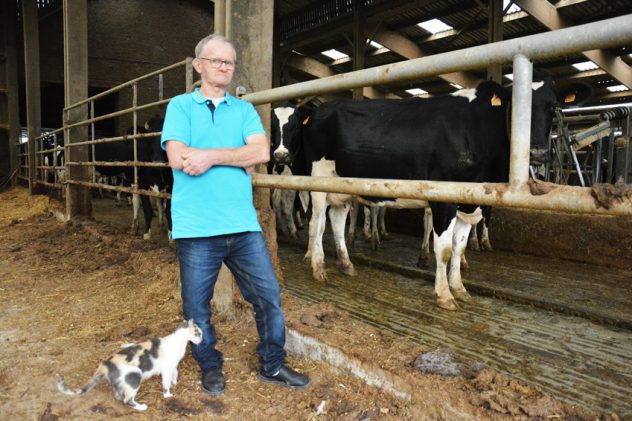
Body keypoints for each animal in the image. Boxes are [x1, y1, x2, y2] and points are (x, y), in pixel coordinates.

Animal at [56, 318, 201, 410]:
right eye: (198, 333)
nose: (202, 339)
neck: (179, 341)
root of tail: (106, 364)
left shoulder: (172, 365)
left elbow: (175, 373)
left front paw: (174, 382)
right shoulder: (166, 368)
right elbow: (165, 383)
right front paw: (168, 395)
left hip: (120, 382)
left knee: (119, 396)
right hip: (135, 376)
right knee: (128, 400)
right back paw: (142, 407)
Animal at [274, 71, 592, 308]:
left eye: (553, 107)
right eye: (514, 106)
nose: (538, 153)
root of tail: (323, 108)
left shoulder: (469, 201)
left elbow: (459, 247)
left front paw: (460, 288)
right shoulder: (443, 198)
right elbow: (444, 250)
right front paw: (444, 295)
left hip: (342, 186)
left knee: (338, 221)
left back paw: (345, 263)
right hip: (317, 179)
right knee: (316, 222)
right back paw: (317, 266)